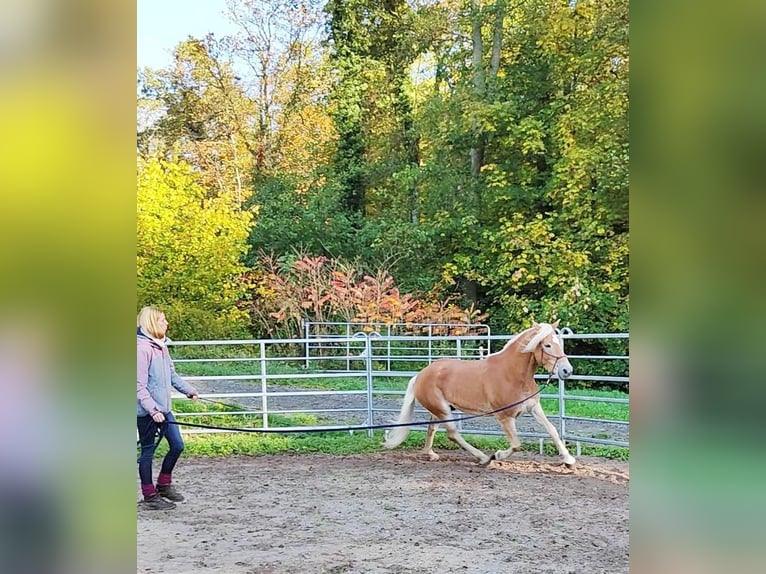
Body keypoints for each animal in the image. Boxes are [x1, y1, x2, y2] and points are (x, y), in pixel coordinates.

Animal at [384, 322, 576, 470]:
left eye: (559, 343)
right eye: (547, 345)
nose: (567, 370)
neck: (512, 374)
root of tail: (420, 375)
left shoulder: (533, 407)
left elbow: (552, 430)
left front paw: (569, 460)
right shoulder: (505, 417)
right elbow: (516, 444)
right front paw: (497, 455)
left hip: (440, 411)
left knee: (432, 428)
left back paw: (430, 454)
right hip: (443, 411)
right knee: (453, 434)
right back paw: (483, 458)